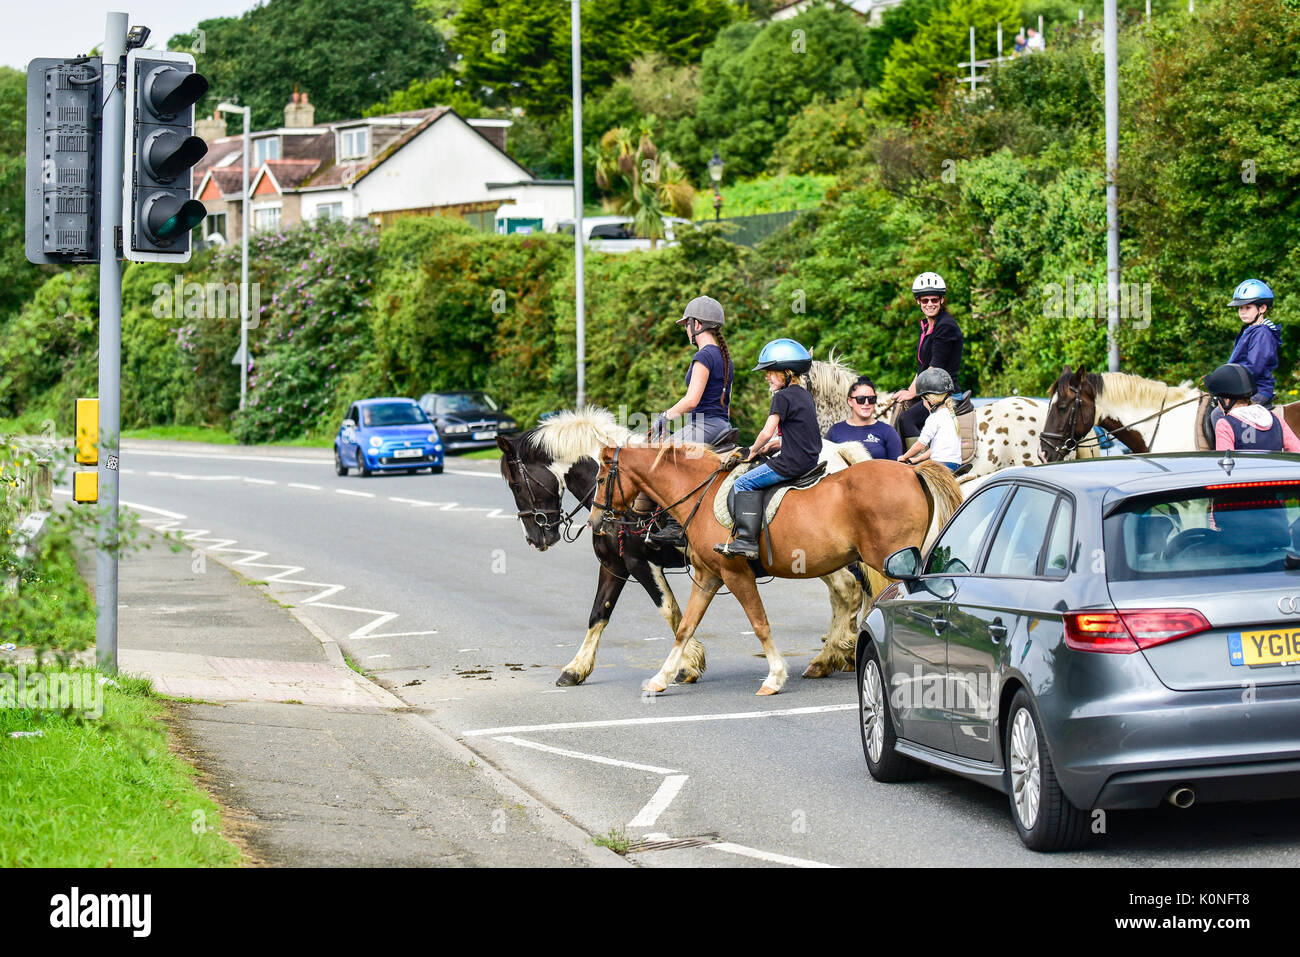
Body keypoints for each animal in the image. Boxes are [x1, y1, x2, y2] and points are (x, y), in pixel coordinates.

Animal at [595, 442, 961, 696]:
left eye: (601, 478)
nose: (598, 522)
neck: (701, 493)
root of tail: (911, 470)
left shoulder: (736, 575)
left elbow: (759, 624)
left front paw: (774, 677)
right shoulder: (708, 576)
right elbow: (685, 627)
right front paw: (662, 678)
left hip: (888, 564)